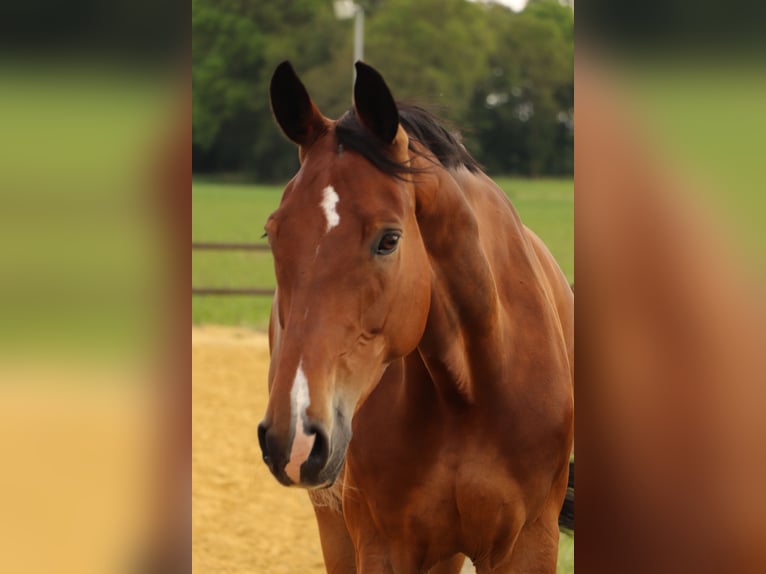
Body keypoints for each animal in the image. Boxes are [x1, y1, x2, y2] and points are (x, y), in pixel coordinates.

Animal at [257, 61, 573, 574]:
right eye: (273, 234)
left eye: (389, 239)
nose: (296, 435)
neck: (468, 391)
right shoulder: (384, 546)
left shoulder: (529, 544)